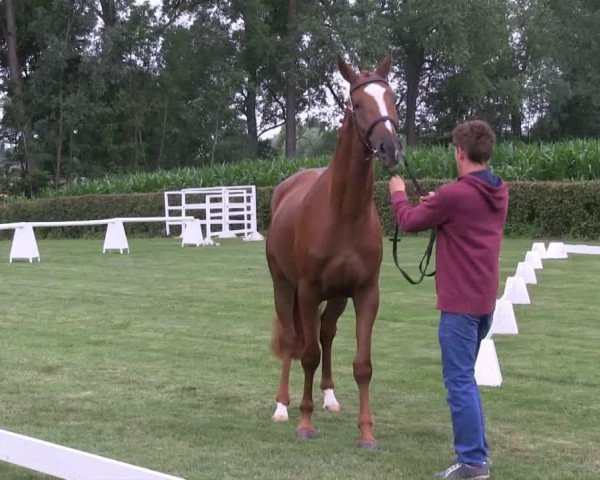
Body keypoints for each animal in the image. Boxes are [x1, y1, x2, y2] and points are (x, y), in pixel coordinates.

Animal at [264, 58, 400, 448]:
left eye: (391, 97)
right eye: (357, 103)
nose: (389, 148)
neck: (344, 212)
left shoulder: (366, 293)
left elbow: (362, 364)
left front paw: (367, 431)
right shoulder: (308, 292)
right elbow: (307, 355)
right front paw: (304, 423)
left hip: (337, 296)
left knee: (326, 334)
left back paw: (329, 396)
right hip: (284, 286)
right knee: (293, 339)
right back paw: (282, 406)